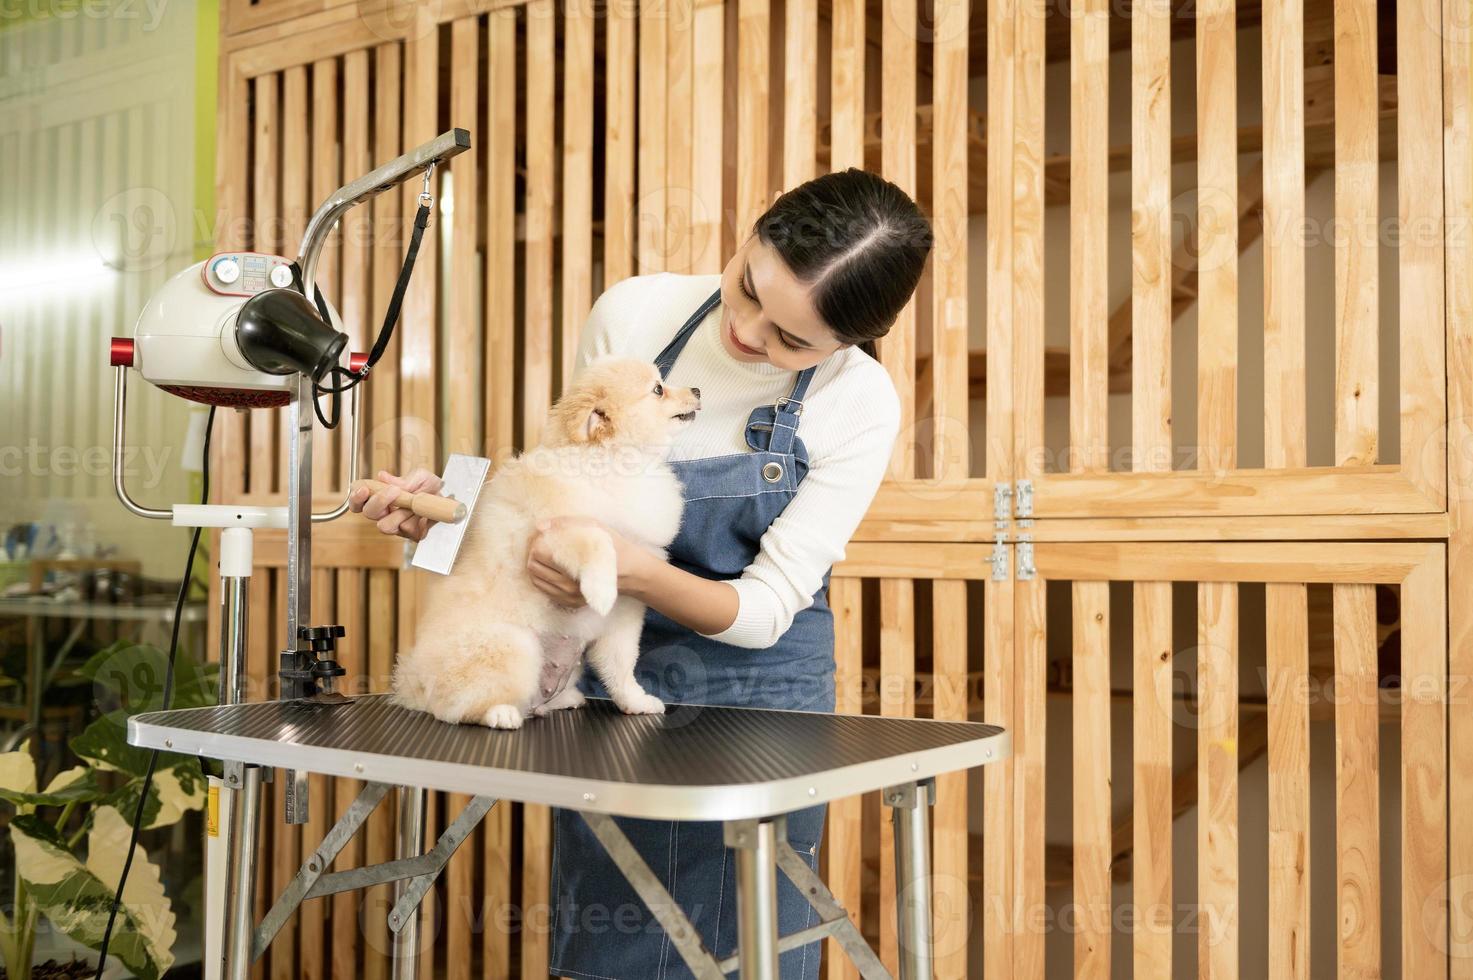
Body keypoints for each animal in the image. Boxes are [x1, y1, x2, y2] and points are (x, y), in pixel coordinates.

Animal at [391, 358, 701, 725]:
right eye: (657, 389)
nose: (697, 390)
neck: (619, 467)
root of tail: (418, 684)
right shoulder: (556, 532)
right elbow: (598, 541)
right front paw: (600, 590)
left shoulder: (627, 610)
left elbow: (621, 667)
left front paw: (635, 700)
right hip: (515, 647)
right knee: (456, 707)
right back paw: (500, 714)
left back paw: (567, 699)